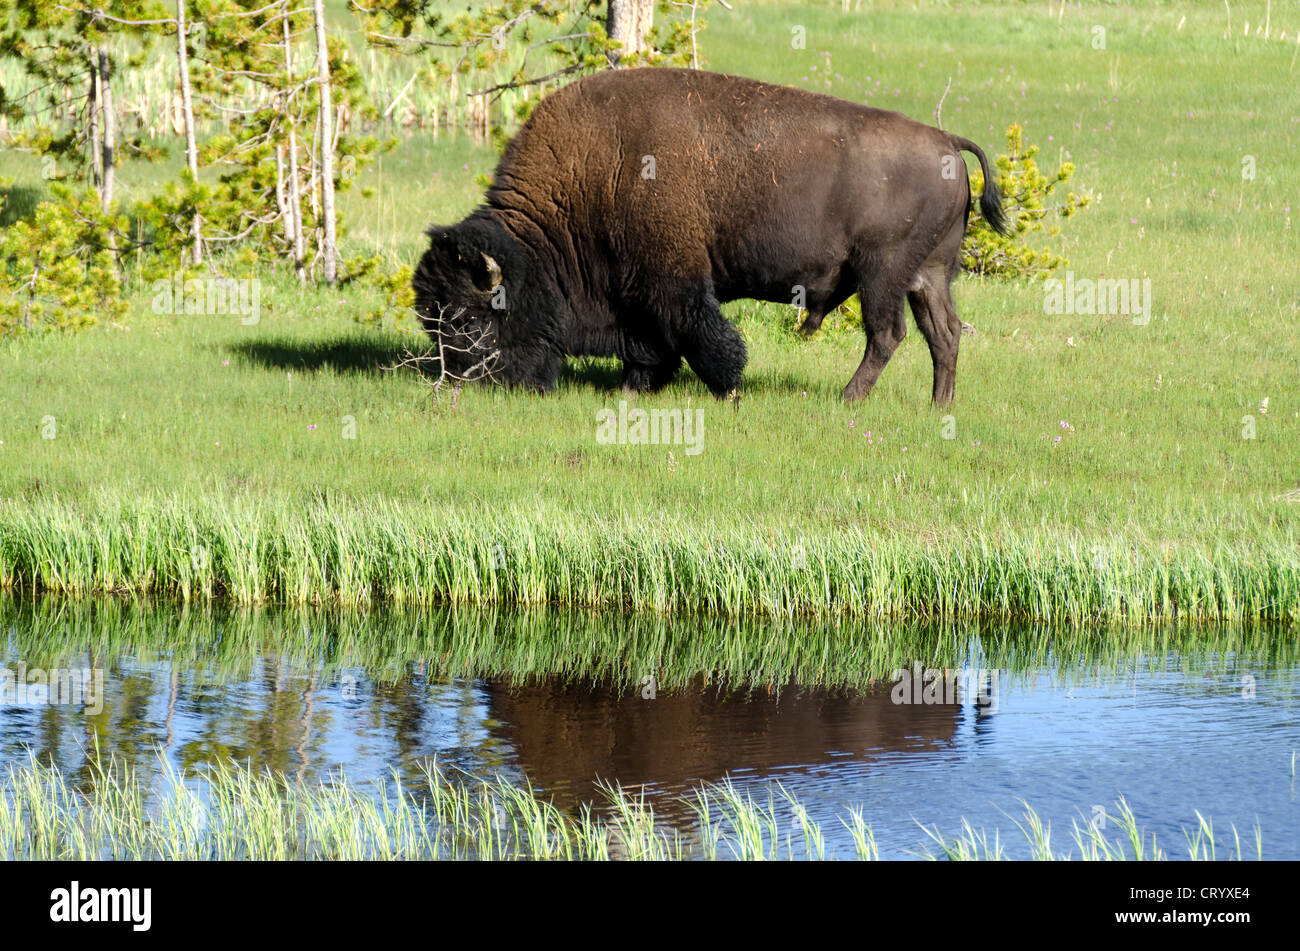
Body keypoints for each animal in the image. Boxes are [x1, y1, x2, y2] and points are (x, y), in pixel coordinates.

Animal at [413, 68, 1003, 402]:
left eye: (468, 319)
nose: (468, 382)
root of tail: (946, 141)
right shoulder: (639, 292)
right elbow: (651, 345)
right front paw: (635, 387)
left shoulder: (673, 279)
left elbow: (701, 336)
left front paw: (728, 389)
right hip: (927, 277)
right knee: (943, 335)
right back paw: (939, 405)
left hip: (881, 274)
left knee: (887, 335)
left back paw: (847, 399)